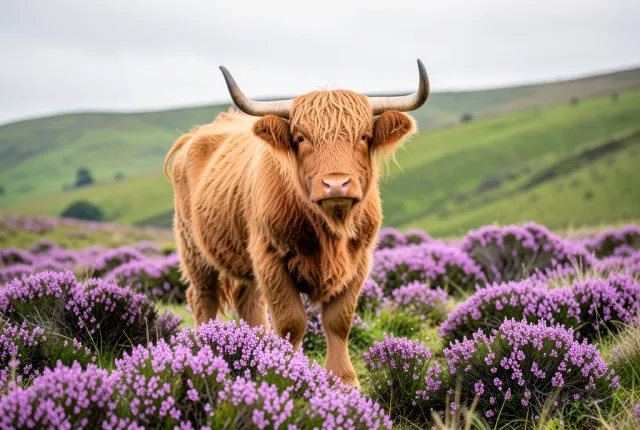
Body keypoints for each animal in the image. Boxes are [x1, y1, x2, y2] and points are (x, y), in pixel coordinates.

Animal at [164, 60, 429, 387]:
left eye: (364, 136)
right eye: (302, 139)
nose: (336, 184)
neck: (329, 230)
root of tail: (196, 135)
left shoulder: (359, 260)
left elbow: (338, 321)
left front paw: (344, 380)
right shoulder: (271, 258)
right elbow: (292, 322)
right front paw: (285, 370)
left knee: (248, 302)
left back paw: (256, 343)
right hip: (195, 250)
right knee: (204, 298)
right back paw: (203, 348)